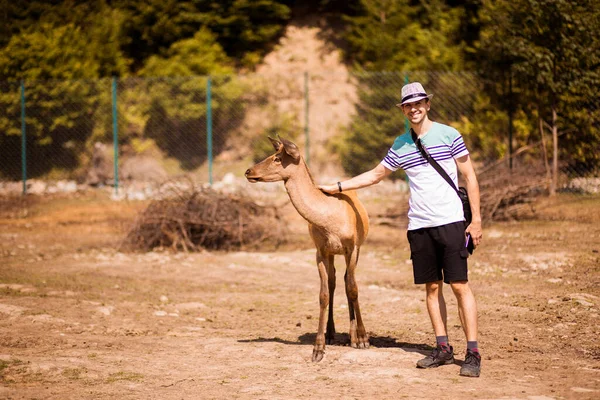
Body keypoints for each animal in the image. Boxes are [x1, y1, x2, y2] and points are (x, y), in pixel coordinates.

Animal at [245, 138, 370, 362]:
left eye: (277, 158)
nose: (249, 171)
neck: (329, 223)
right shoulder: (320, 251)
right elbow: (323, 295)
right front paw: (318, 349)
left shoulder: (353, 247)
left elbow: (353, 289)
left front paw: (363, 339)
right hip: (332, 254)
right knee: (334, 281)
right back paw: (331, 333)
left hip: (354, 250)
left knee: (348, 281)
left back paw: (354, 336)